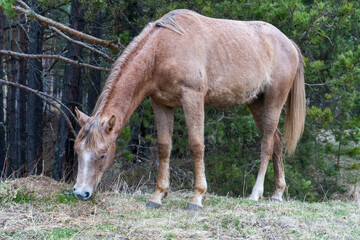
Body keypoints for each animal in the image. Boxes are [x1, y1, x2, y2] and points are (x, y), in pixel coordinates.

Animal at [74, 8, 306, 210]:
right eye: (77, 151)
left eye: (102, 154)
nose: (80, 193)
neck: (163, 48)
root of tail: (288, 43)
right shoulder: (161, 104)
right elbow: (164, 147)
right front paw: (158, 196)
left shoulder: (192, 98)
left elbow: (196, 145)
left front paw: (197, 197)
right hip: (256, 103)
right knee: (276, 140)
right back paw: (277, 193)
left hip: (274, 101)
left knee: (267, 144)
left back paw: (256, 193)